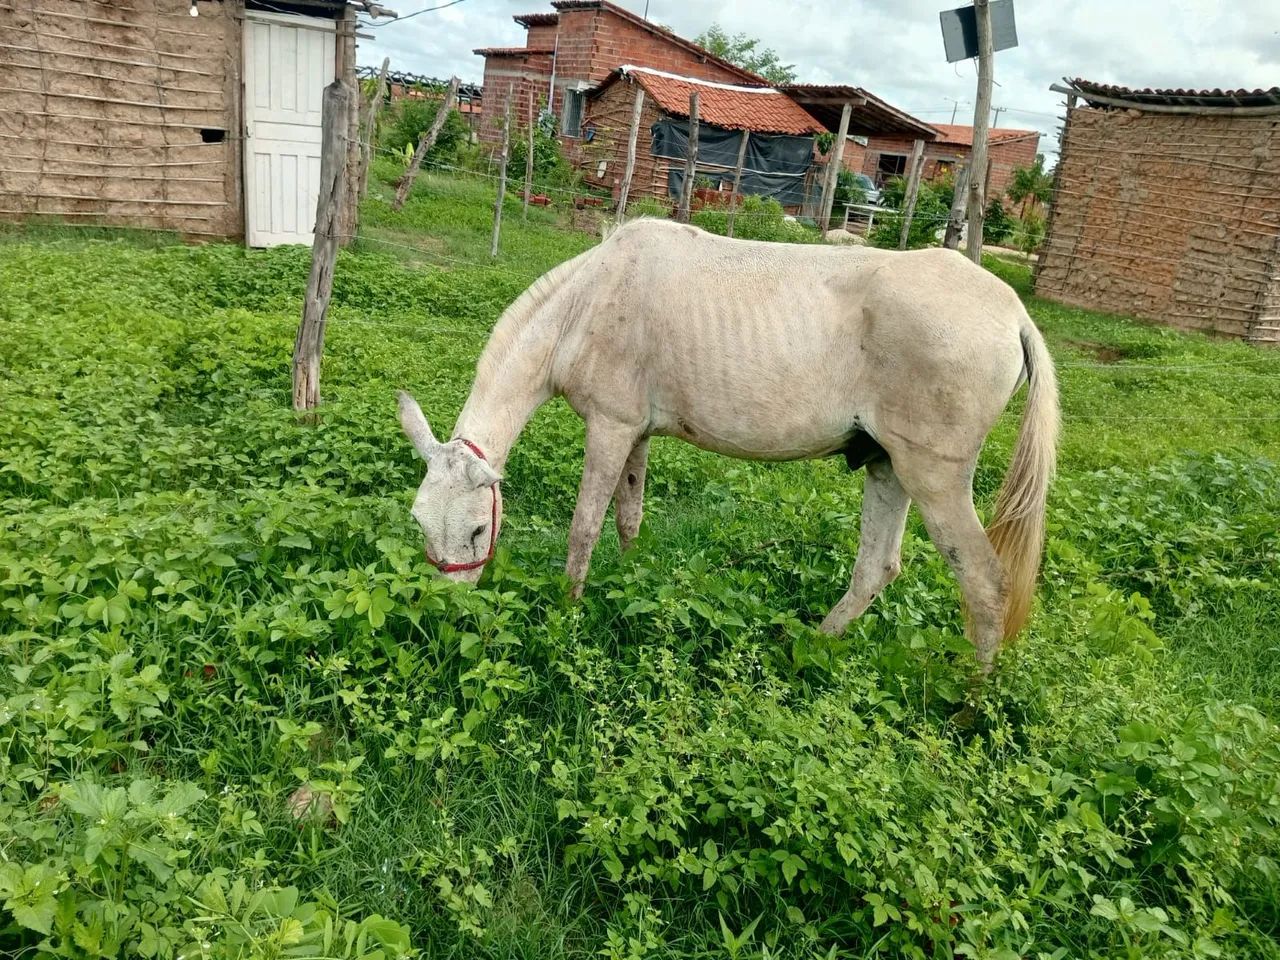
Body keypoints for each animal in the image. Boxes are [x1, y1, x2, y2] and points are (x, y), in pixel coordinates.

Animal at [397, 219, 1059, 673]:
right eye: (420, 524)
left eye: (478, 530)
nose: (448, 615)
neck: (585, 303)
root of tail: (1014, 314)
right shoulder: (635, 433)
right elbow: (629, 518)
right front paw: (632, 585)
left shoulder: (609, 427)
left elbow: (585, 526)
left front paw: (569, 611)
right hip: (888, 467)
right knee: (877, 568)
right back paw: (808, 648)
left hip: (935, 480)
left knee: (985, 585)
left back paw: (969, 706)